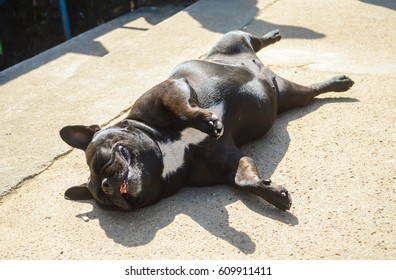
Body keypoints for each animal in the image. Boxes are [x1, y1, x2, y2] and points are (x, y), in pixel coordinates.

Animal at [60, 30, 354, 210]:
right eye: (106, 200)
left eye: (100, 160)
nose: (107, 186)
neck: (163, 151)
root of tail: (262, 68)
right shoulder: (229, 161)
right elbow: (244, 178)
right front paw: (272, 192)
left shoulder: (170, 90)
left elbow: (181, 108)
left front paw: (206, 122)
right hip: (289, 95)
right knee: (311, 92)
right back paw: (336, 83)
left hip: (231, 39)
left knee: (253, 40)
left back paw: (273, 36)